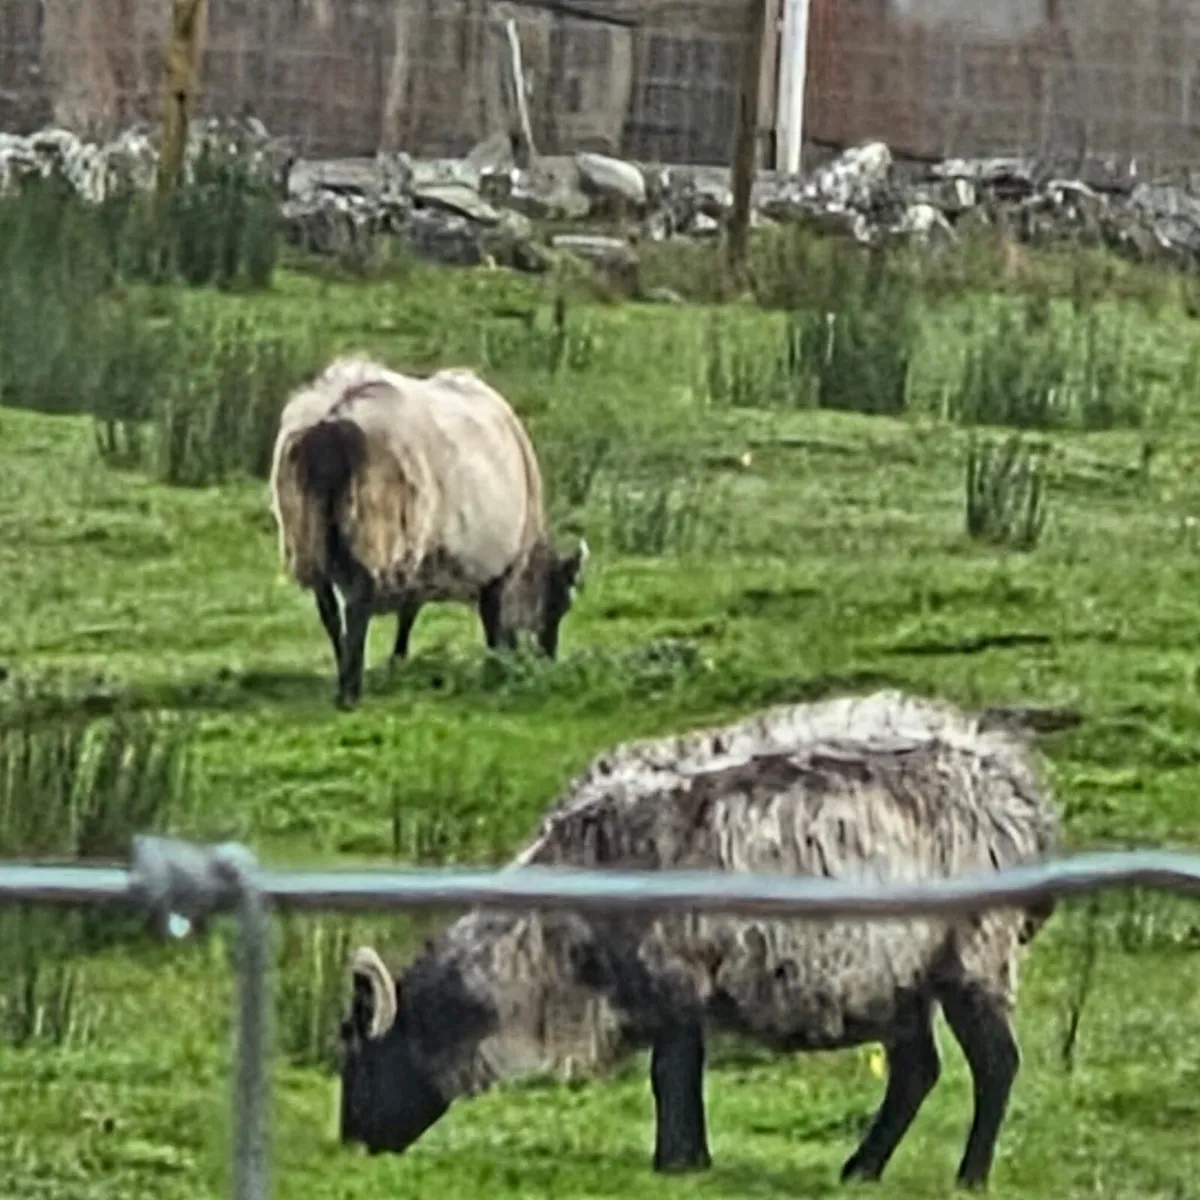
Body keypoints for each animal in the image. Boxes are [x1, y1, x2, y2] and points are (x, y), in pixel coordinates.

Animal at [268, 354, 588, 708]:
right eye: (559, 604)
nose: (549, 662)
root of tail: (334, 417)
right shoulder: (497, 567)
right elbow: (492, 620)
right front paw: (497, 667)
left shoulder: (420, 563)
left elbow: (408, 614)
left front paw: (398, 661)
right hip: (372, 527)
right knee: (357, 607)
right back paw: (352, 691)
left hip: (306, 532)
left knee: (329, 611)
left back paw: (343, 681)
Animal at [338, 689, 1062, 1187]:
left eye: (358, 1056)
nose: (352, 1145)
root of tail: (1021, 798)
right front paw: (690, 1158)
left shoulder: (674, 976)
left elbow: (671, 1074)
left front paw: (678, 1162)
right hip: (897, 973)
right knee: (916, 1071)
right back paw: (861, 1169)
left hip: (973, 951)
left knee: (995, 1064)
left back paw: (970, 1175)